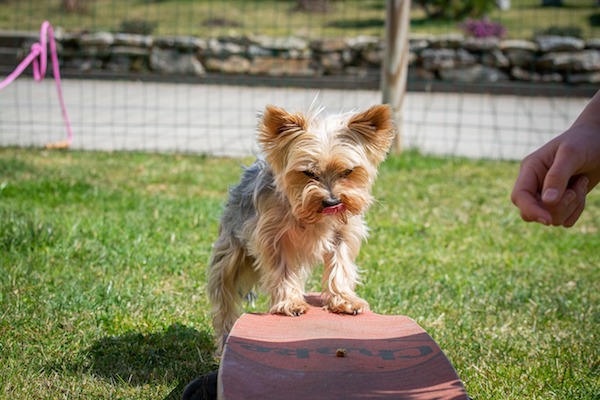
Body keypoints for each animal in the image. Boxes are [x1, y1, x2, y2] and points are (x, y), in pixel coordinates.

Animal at [209, 104, 396, 350]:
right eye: (308, 172)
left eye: (347, 172)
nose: (332, 202)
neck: (312, 216)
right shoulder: (272, 237)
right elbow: (282, 270)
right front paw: (290, 303)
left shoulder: (343, 233)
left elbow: (341, 264)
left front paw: (344, 300)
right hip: (232, 250)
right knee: (224, 292)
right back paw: (224, 340)